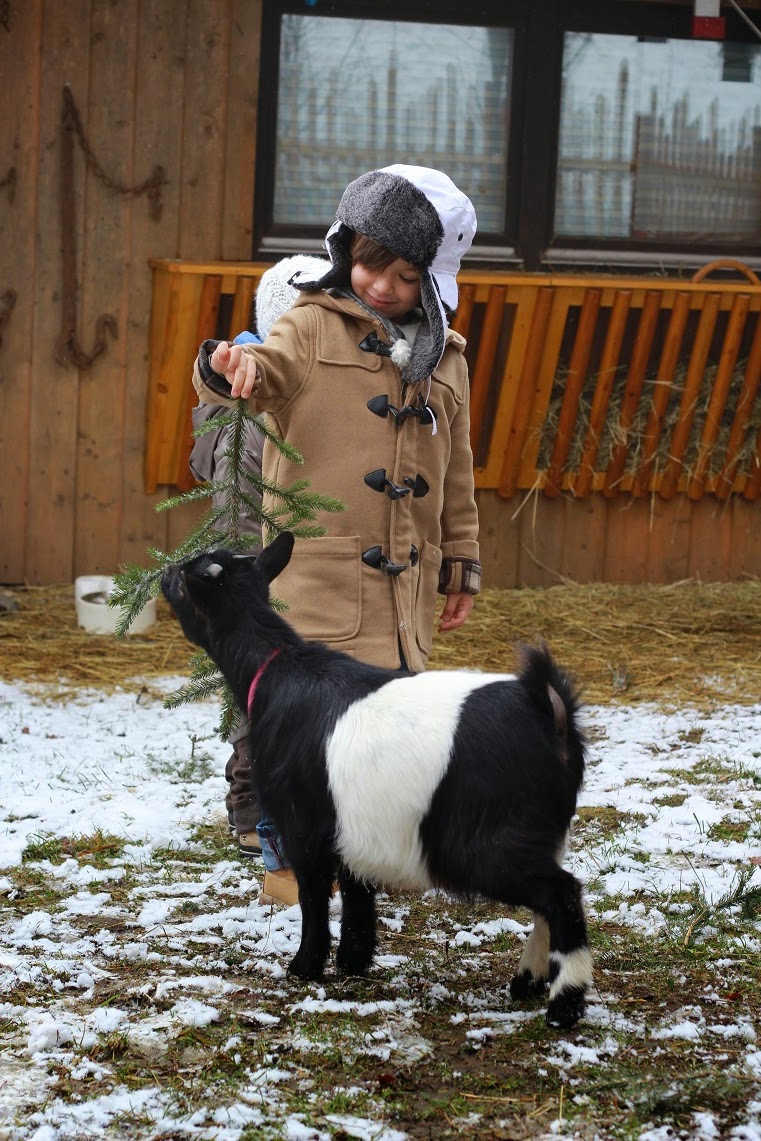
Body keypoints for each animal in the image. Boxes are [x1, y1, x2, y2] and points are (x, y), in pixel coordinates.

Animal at [161, 532, 592, 1028]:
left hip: (485, 841)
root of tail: (547, 710)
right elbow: (356, 887)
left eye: (184, 577)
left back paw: (565, 1002)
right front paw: (354, 960)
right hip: (543, 830)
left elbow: (313, 893)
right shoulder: (354, 822)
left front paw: (305, 966)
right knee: (550, 897)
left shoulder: (302, 821)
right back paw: (527, 981)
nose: (164, 572)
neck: (275, 670)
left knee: (562, 894)